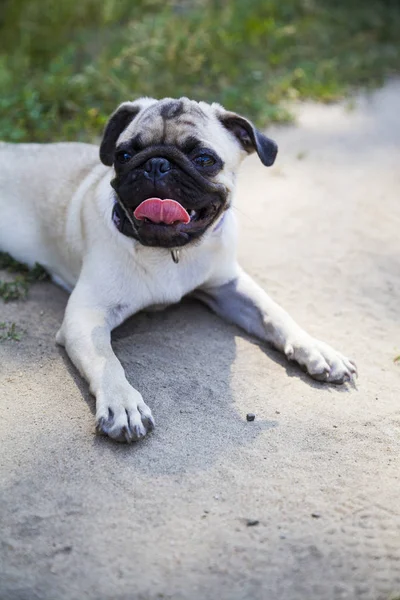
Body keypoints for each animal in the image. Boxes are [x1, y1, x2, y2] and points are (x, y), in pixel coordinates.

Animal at [0, 97, 356, 440]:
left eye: (204, 159)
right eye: (124, 155)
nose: (156, 164)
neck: (171, 251)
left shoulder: (228, 286)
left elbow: (275, 313)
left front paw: (316, 348)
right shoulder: (86, 317)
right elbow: (107, 361)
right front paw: (123, 403)